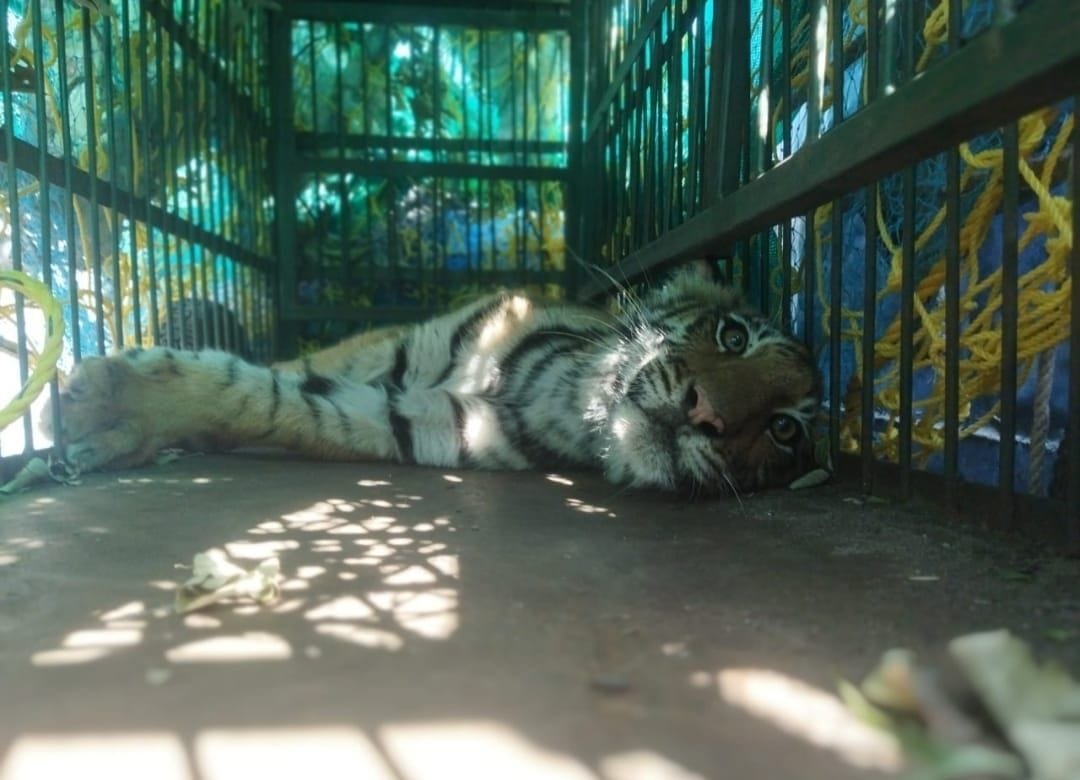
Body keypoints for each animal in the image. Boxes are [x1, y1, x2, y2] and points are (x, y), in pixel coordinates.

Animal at [45, 267, 821, 496]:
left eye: (786, 430)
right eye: (733, 336)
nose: (708, 413)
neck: (560, 399)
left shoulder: (422, 424)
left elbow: (267, 400)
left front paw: (108, 414)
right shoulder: (395, 348)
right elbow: (273, 379)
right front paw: (100, 403)